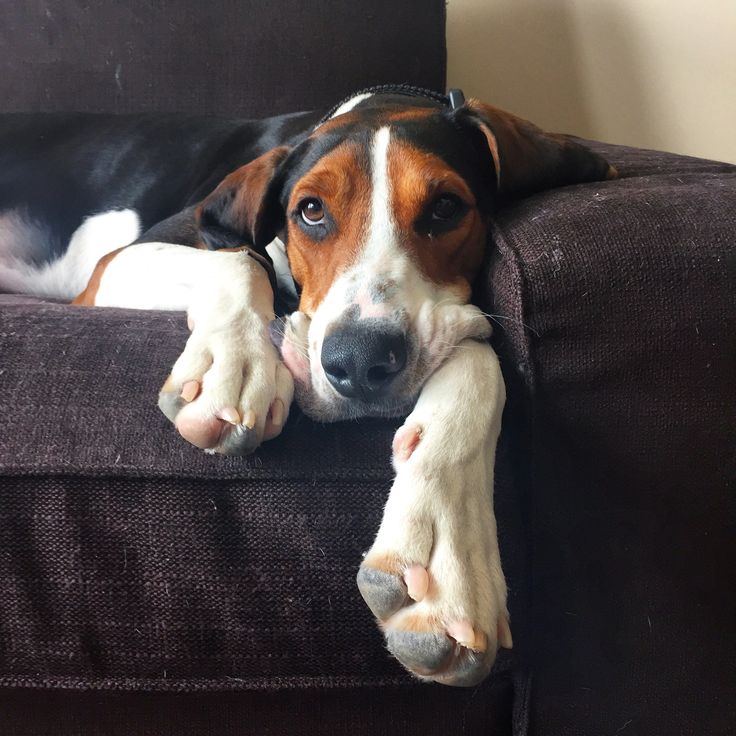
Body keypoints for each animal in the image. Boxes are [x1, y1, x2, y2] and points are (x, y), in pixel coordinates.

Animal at [0, 89, 616, 688]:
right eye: (311, 212)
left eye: (446, 207)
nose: (360, 361)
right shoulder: (114, 266)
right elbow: (244, 257)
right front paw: (236, 361)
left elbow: (477, 350)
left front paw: (446, 553)